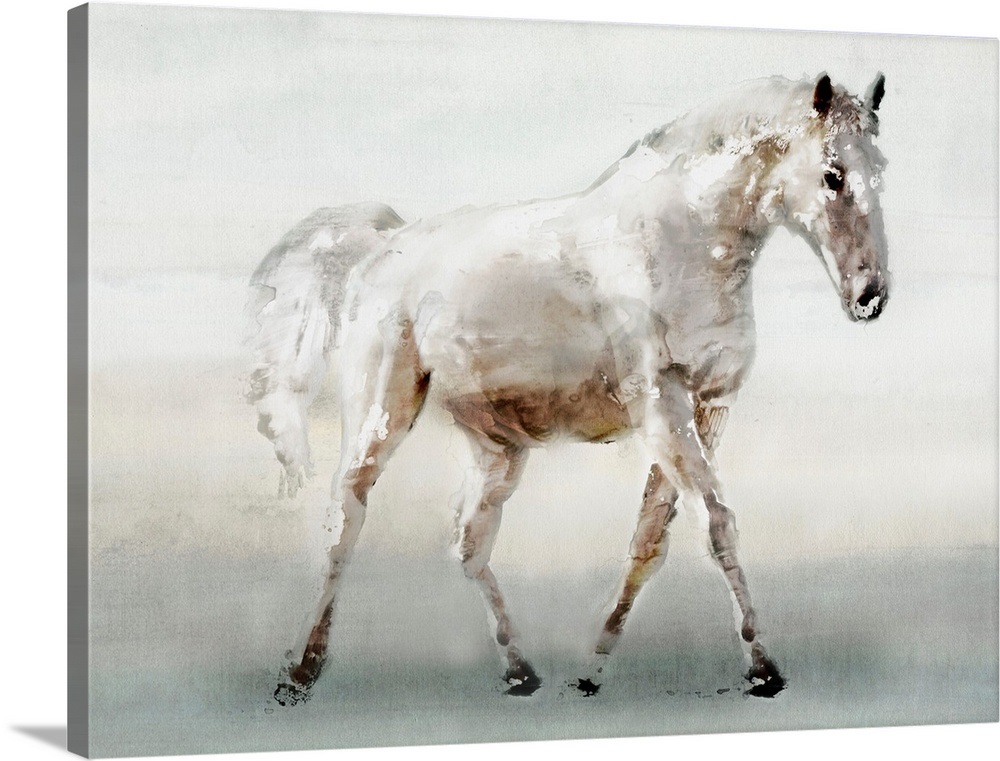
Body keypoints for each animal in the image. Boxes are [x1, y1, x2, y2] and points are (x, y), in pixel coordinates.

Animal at [249, 72, 890, 705]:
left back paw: (519, 671)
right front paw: (762, 668)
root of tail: (384, 246)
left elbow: (650, 539)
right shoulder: (661, 405)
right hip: (383, 411)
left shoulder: (709, 409)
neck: (681, 238)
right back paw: (301, 670)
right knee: (345, 517)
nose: (870, 296)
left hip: (498, 447)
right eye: (832, 174)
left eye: (881, 168)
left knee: (468, 540)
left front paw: (593, 668)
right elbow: (717, 525)